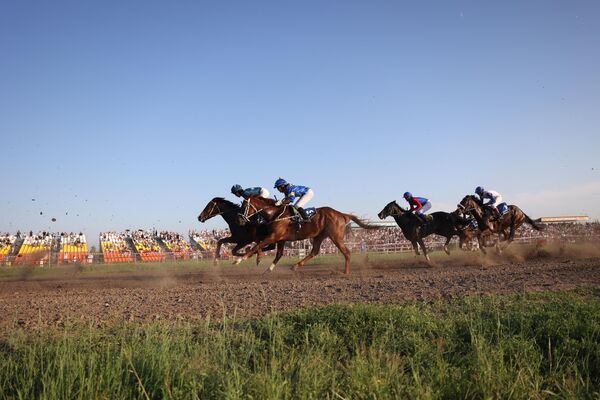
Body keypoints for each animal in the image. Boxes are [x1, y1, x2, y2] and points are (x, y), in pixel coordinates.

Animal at [232, 198, 378, 276]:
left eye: (244, 206)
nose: (238, 220)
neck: (275, 214)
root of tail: (341, 214)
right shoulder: (281, 239)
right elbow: (276, 254)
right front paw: (266, 268)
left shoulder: (274, 236)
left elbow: (257, 246)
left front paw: (239, 260)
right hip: (319, 236)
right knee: (314, 251)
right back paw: (296, 266)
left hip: (335, 236)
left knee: (346, 252)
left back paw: (345, 272)